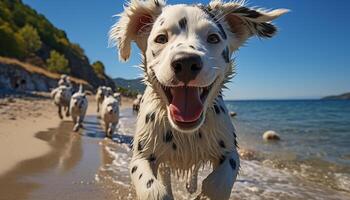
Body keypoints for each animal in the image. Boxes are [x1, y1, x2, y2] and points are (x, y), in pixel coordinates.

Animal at [109, 0, 288, 199]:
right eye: (161, 38)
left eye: (213, 38)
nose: (186, 63)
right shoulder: (141, 157)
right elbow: (153, 189)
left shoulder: (230, 152)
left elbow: (218, 184)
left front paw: (203, 194)